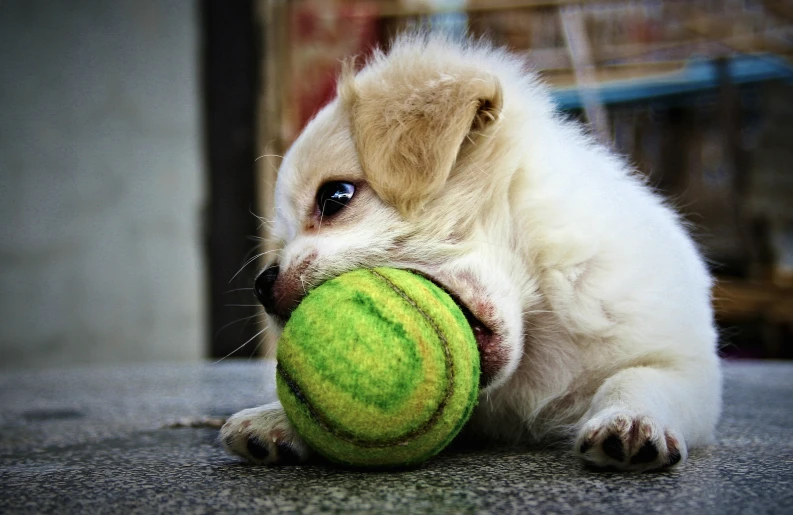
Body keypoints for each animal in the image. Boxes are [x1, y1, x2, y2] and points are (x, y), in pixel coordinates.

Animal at [221, 34, 716, 474]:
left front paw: (630, 421)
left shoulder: (685, 366)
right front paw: (278, 418)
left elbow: (636, 378)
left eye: (335, 197)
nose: (262, 285)